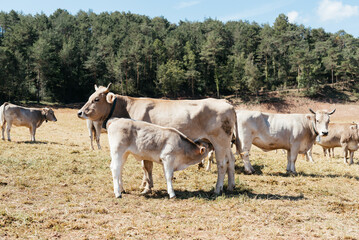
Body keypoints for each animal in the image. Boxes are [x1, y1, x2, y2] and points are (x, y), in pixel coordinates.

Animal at [77, 83, 238, 194]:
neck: (128, 107)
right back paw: (231, 186)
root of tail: (225, 102)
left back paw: (218, 188)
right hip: (226, 143)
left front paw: (147, 187)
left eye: (96, 99)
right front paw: (145, 184)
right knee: (231, 160)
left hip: (219, 141)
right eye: (89, 97)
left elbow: (147, 166)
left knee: (222, 163)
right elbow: (145, 167)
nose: (79, 112)